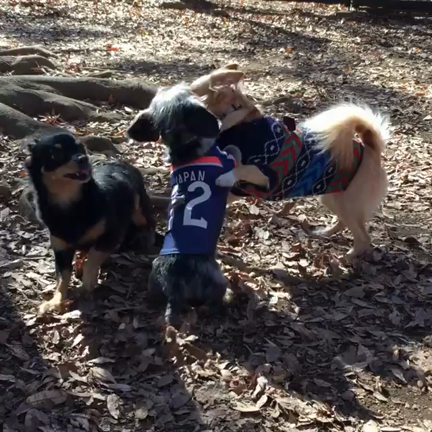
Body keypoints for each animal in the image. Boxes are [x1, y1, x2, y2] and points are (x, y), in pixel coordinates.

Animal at [25, 133, 156, 315]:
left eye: (81, 148)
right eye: (56, 154)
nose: (83, 158)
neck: (70, 207)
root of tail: (119, 160)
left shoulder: (112, 236)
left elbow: (93, 259)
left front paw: (86, 286)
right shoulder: (61, 250)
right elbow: (62, 279)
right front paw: (55, 301)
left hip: (139, 210)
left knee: (149, 223)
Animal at [127, 84, 269, 328]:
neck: (184, 145)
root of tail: (175, 290)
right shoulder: (231, 158)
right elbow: (234, 151)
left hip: (154, 279)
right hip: (217, 280)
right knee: (213, 304)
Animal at [191, 68, 390, 259]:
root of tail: (371, 149)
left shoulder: (267, 175)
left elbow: (242, 169)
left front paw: (225, 177)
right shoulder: (241, 189)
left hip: (346, 203)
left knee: (363, 238)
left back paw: (346, 259)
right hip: (333, 197)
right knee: (345, 224)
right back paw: (325, 233)